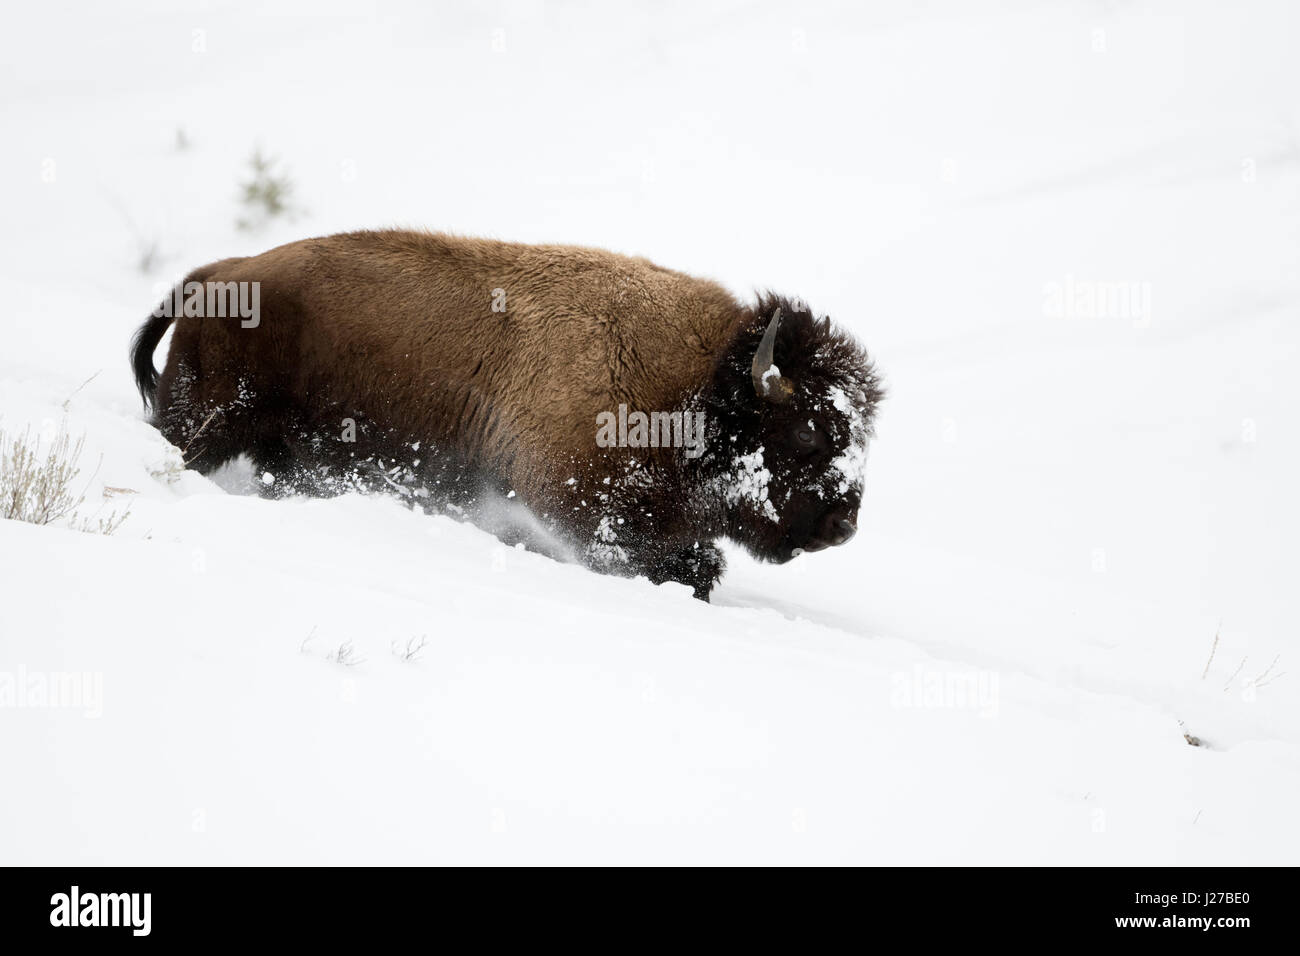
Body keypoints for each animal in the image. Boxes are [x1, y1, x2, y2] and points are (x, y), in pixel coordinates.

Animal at [129, 231, 883, 598]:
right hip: (203, 425)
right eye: (810, 430)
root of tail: (212, 277)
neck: (697, 387)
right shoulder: (584, 510)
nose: (844, 525)